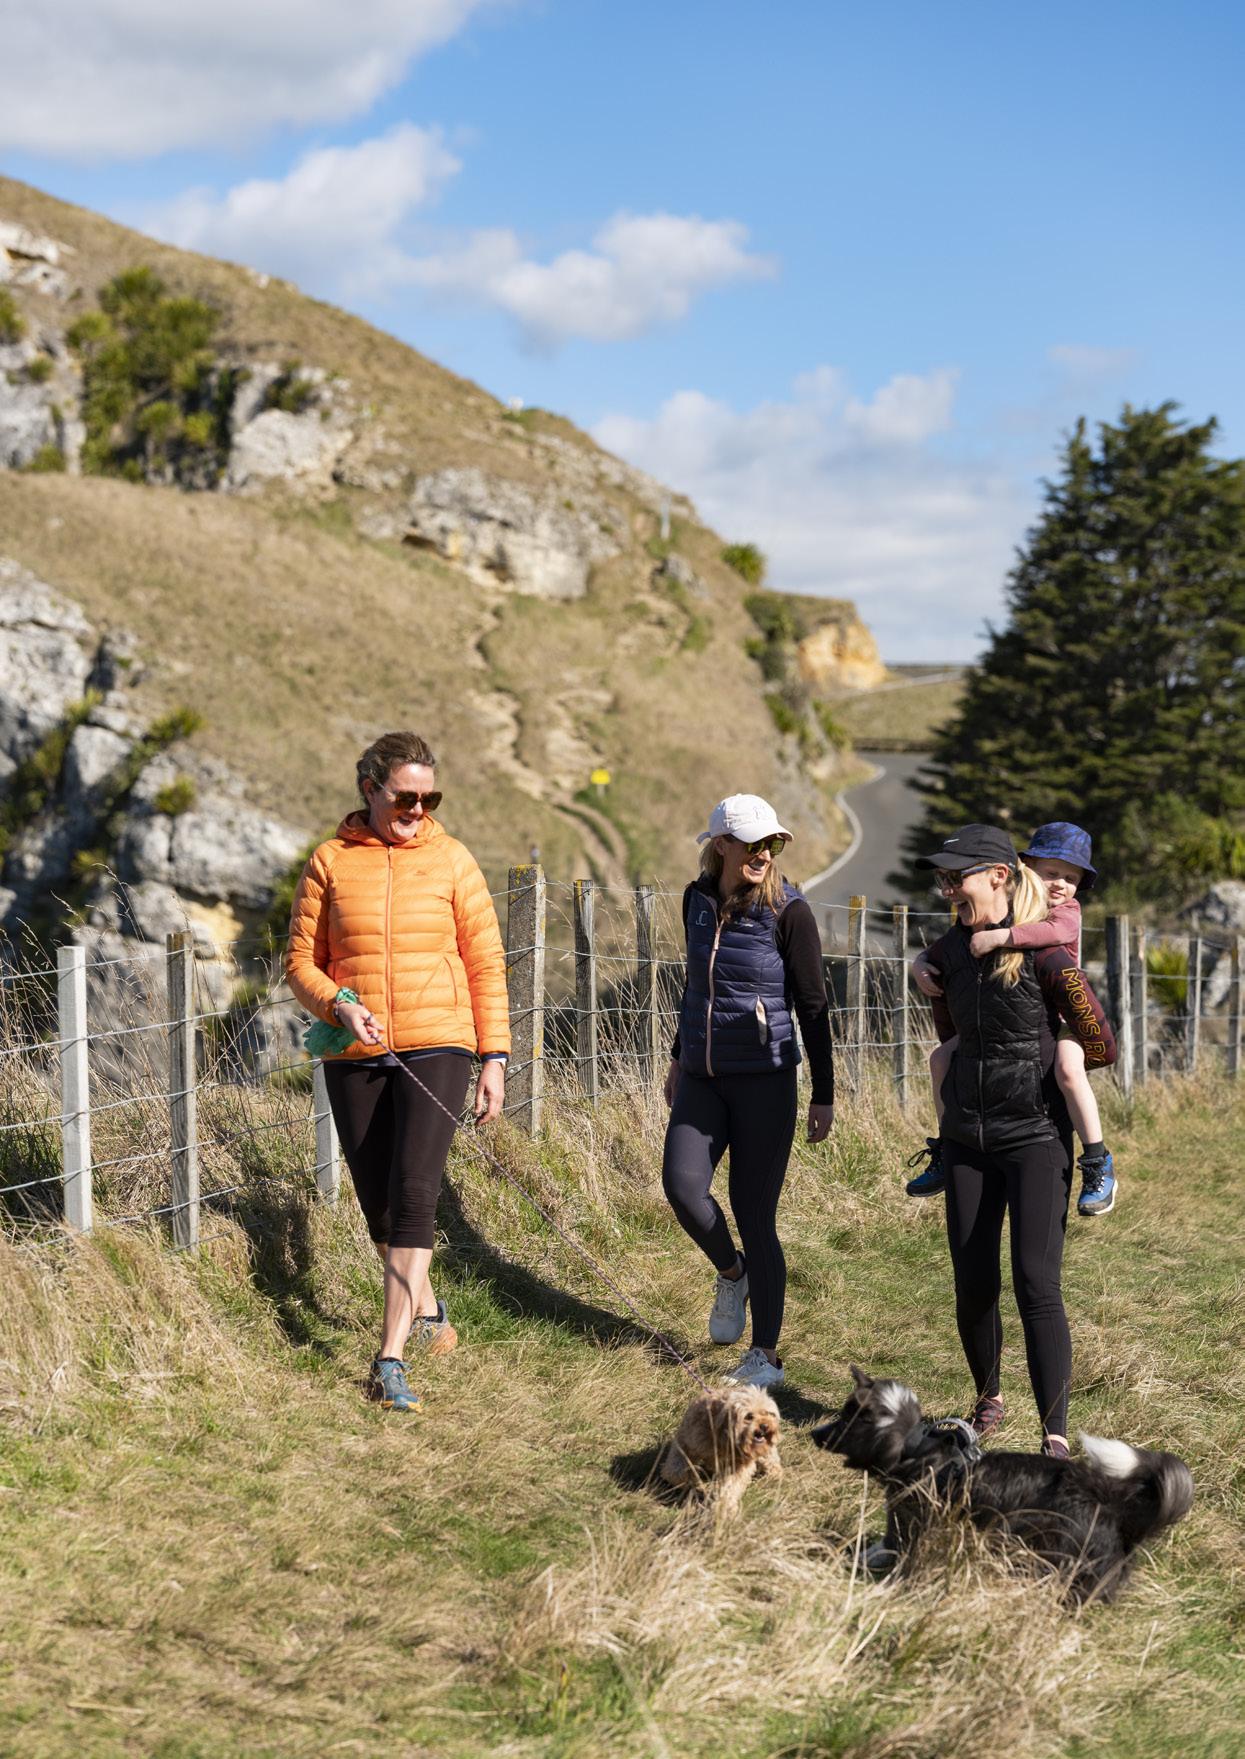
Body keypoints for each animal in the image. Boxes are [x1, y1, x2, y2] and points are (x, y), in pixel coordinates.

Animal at [658, 1384, 783, 1517]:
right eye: (749, 1416)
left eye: (769, 1414)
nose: (765, 1426)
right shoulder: (687, 1442)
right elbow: (676, 1469)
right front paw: (686, 1481)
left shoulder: (738, 1466)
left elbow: (731, 1487)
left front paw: (724, 1507)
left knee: (771, 1459)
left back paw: (774, 1474)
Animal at [811, 1366, 1194, 1604]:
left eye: (843, 1421)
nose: (814, 1434)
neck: (914, 1447)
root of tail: (1116, 1510)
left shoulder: (910, 1521)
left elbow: (892, 1548)